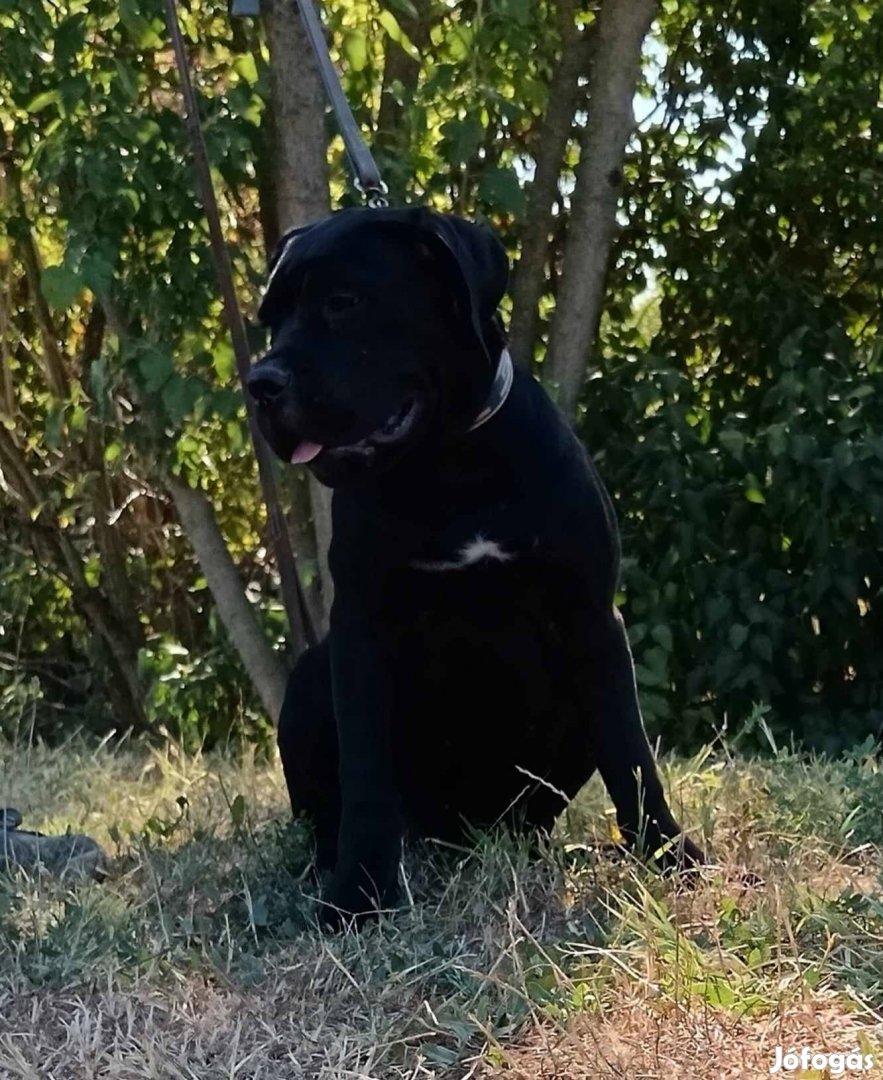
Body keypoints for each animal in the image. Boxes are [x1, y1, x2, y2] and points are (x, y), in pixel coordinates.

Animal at [246, 206, 703, 924]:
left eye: (343, 302)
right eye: (272, 319)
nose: (260, 383)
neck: (451, 464)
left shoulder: (593, 621)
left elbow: (631, 755)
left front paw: (666, 853)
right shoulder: (360, 634)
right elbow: (366, 775)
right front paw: (358, 894)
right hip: (311, 678)